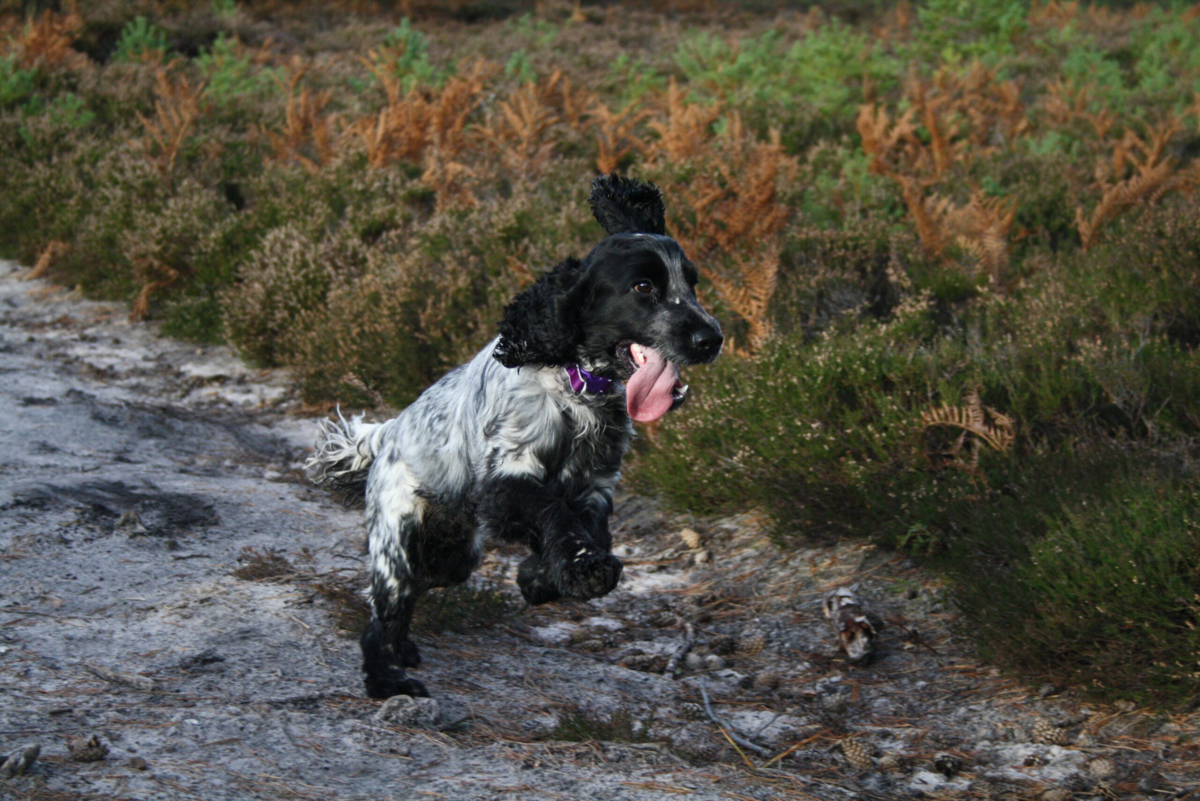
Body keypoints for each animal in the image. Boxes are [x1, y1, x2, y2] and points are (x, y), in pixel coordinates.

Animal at [307, 173, 720, 695]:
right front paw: (584, 570)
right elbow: (553, 514)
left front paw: (542, 576)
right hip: (396, 539)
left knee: (416, 593)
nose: (711, 338)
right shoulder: (506, 483)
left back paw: (404, 651)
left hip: (454, 554)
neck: (575, 390)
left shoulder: (596, 485)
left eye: (692, 282)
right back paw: (388, 679)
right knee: (383, 613)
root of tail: (386, 433)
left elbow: (588, 529)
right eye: (643, 286)